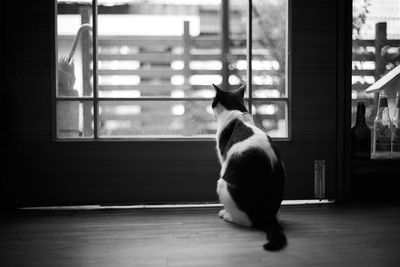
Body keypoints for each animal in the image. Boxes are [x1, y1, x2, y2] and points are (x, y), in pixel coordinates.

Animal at [212, 83, 288, 251]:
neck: (236, 110)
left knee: (248, 222)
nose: (211, 104)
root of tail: (268, 217)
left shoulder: (223, 160)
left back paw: (228, 216)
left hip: (222, 183)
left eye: (213, 100)